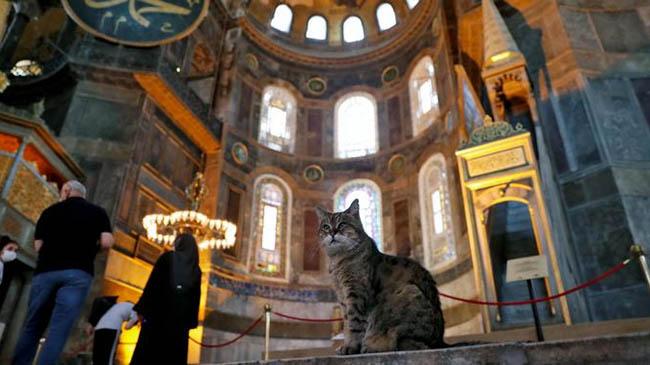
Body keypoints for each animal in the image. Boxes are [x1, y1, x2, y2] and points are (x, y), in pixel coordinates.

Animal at [316, 198, 446, 354]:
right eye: (326, 227)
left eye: (342, 224)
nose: (332, 233)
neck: (338, 261)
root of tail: (441, 341)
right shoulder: (342, 297)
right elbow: (347, 324)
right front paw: (347, 344)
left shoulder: (356, 293)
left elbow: (354, 324)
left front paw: (351, 347)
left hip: (409, 292)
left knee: (413, 345)